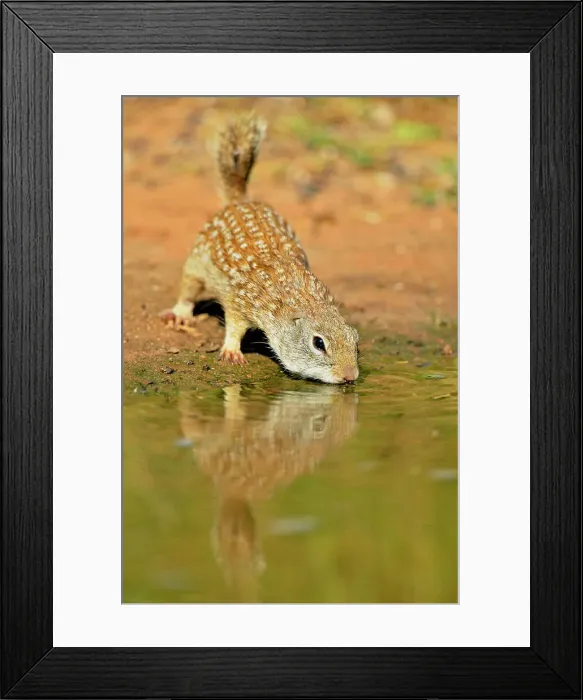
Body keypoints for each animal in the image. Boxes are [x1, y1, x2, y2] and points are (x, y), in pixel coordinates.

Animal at [162, 113, 360, 384]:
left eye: (355, 339)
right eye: (318, 343)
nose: (350, 376)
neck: (298, 299)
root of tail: (239, 201)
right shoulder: (238, 300)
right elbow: (234, 326)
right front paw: (232, 350)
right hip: (197, 261)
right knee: (188, 287)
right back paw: (182, 311)